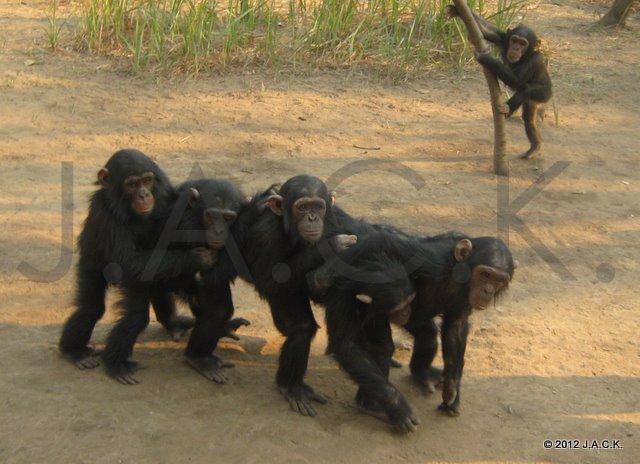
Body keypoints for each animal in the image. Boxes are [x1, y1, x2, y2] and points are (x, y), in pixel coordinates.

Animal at [59, 150, 215, 384]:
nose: (143, 195)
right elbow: (129, 261)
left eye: (147, 181)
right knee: (93, 309)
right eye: (132, 184)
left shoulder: (165, 192)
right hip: (92, 267)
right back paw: (81, 353)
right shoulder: (106, 216)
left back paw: (173, 323)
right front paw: (198, 257)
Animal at [234, 174, 356, 416]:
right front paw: (331, 245)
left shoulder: (333, 217)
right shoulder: (265, 235)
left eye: (317, 207)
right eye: (302, 208)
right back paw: (290, 387)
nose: (312, 218)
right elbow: (270, 281)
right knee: (301, 329)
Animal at [308, 230, 512, 418]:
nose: (487, 291)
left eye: (499, 280)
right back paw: (370, 403)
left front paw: (452, 390)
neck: (455, 278)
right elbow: (385, 241)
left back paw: (424, 374)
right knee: (383, 346)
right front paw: (323, 276)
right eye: (485, 274)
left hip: (413, 319)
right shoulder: (430, 261)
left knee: (428, 335)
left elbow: (456, 328)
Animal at [448, 5, 552, 160]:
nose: (515, 48)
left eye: (523, 43)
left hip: (544, 94)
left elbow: (516, 81)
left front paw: (486, 58)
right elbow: (487, 31)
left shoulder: (535, 59)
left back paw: (508, 109)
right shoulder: (503, 38)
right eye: (514, 40)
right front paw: (458, 10)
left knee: (526, 89)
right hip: (532, 102)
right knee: (528, 118)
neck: (525, 56)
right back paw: (535, 146)